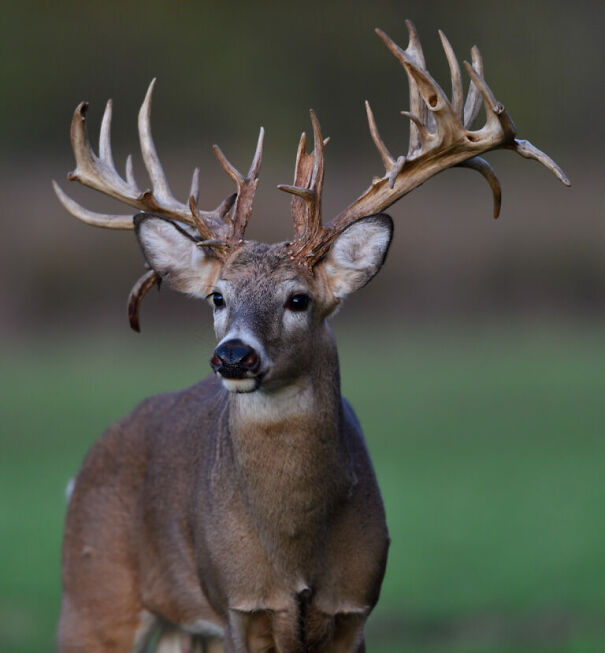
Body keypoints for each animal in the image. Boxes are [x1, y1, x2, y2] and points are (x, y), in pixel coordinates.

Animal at [52, 20, 569, 653]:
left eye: (298, 299)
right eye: (217, 297)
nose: (234, 355)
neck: (293, 555)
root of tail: (84, 469)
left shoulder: (353, 608)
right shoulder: (239, 606)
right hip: (92, 594)